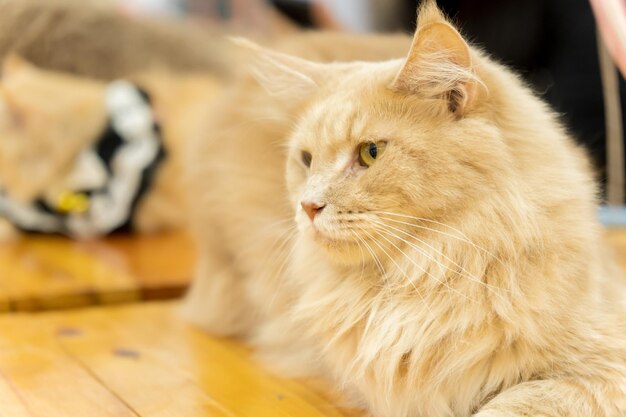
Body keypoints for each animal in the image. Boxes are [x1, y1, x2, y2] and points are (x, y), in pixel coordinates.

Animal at [180, 1, 624, 414]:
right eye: (306, 160)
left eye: (370, 153)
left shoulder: (605, 364)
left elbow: (510, 405)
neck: (438, 268)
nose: (308, 206)